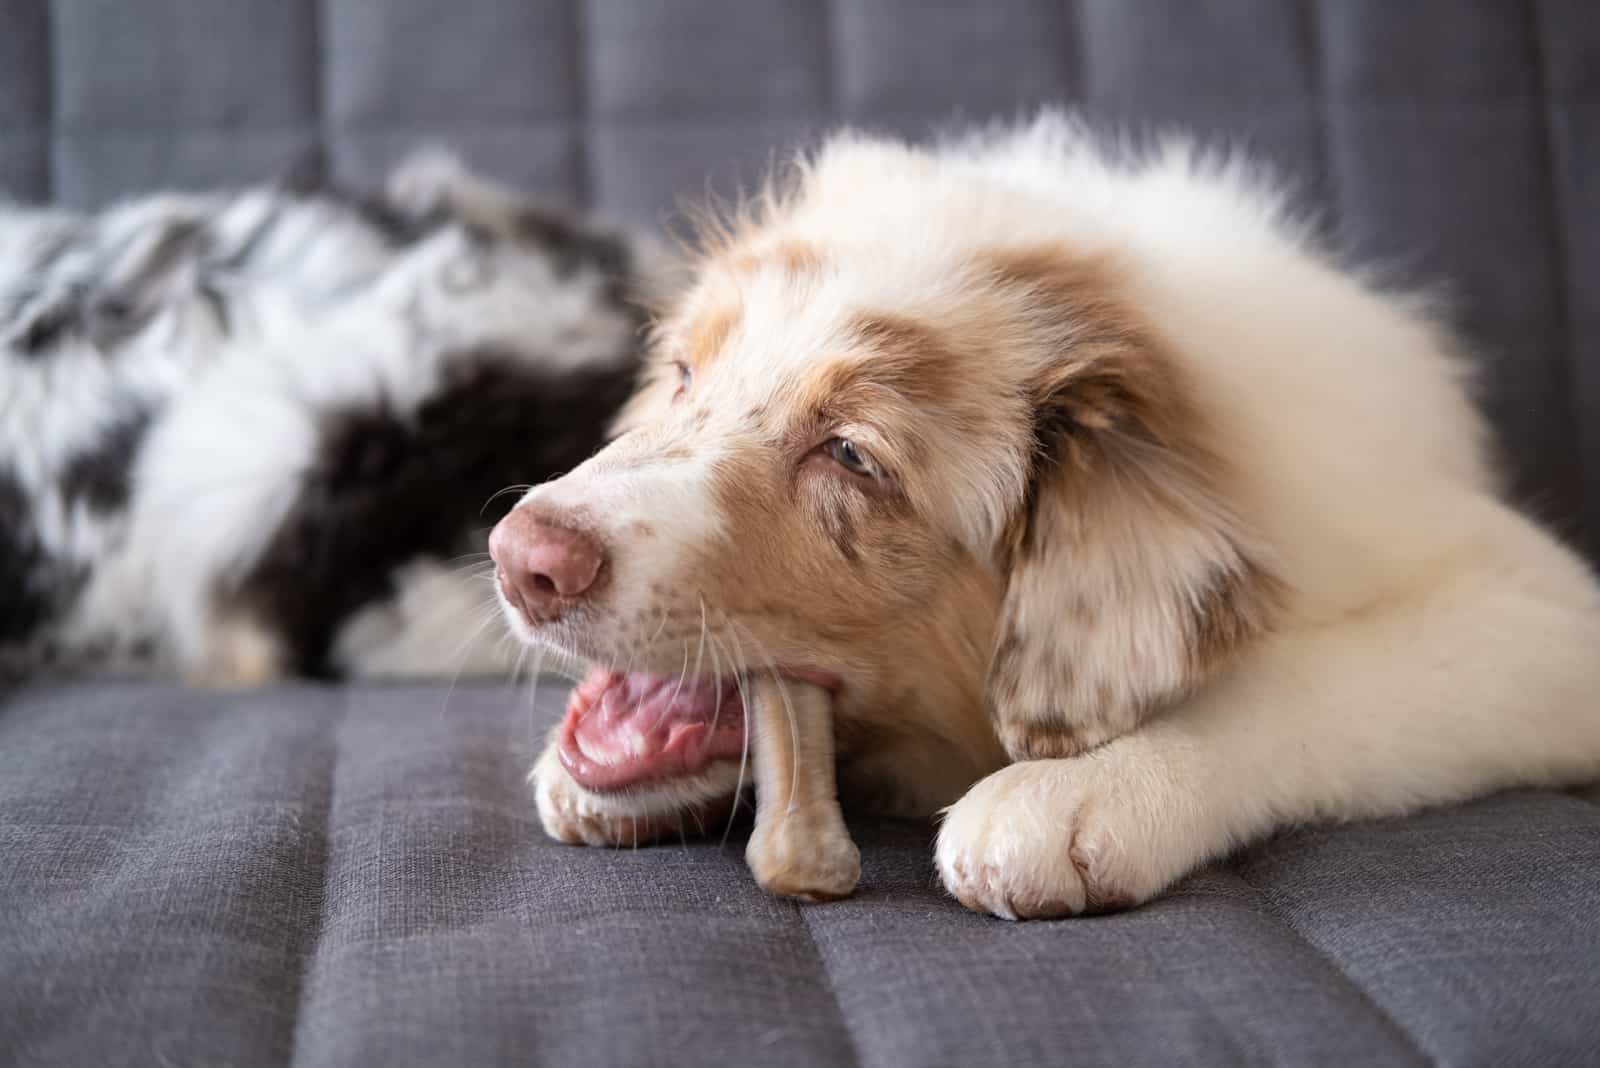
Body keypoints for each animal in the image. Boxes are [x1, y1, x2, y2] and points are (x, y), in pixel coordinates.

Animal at [489, 115, 1600, 920]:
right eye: (682, 374)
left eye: (850, 455)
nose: (518, 557)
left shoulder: (1534, 611)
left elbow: (1309, 680)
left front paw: (1077, 793)